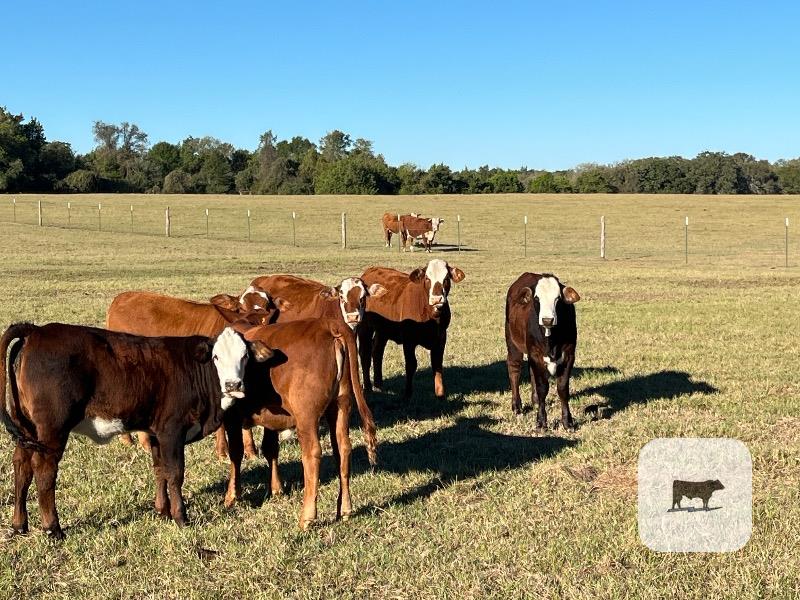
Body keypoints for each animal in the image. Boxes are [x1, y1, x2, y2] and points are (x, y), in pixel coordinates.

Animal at [0, 323, 269, 539]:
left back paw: (19, 524)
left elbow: (160, 470)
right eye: (216, 357)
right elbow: (175, 474)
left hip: (27, 427)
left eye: (245, 356)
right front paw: (181, 517)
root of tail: (36, 330)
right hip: (52, 430)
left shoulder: (156, 434)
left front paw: (162, 511)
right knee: (44, 471)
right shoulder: (172, 431)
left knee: (21, 466)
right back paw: (53, 528)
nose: (233, 385)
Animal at [221, 318, 378, 530]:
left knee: (312, 454)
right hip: (341, 404)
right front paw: (276, 489)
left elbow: (236, 454)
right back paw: (345, 509)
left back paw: (307, 517)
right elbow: (270, 449)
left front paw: (231, 496)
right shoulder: (271, 419)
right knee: (343, 448)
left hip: (306, 415)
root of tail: (328, 324)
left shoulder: (232, 416)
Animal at [358, 259, 465, 401]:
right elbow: (411, 364)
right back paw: (368, 388)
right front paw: (407, 394)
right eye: (427, 278)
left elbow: (437, 364)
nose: (437, 299)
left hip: (383, 330)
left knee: (377, 351)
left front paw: (440, 395)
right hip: (365, 327)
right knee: (365, 354)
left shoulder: (441, 338)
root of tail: (370, 271)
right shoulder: (409, 339)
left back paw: (378, 384)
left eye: (446, 278)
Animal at [504, 273, 580, 430]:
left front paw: (567, 421)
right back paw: (517, 406)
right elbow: (542, 388)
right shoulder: (536, 355)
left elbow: (562, 389)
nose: (547, 320)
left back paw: (534, 401)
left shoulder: (569, 356)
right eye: (536, 298)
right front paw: (541, 421)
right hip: (513, 343)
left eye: (558, 298)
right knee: (514, 370)